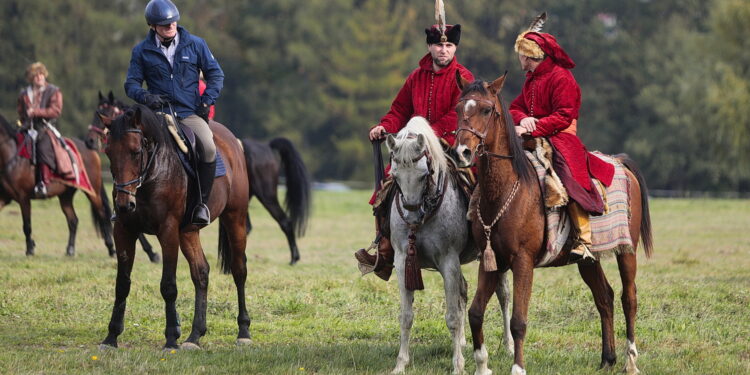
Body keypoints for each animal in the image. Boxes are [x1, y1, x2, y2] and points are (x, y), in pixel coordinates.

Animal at [0, 112, 115, 258]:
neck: (12, 156)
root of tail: (90, 149)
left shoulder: (23, 198)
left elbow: (27, 226)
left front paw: (30, 249)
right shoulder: (4, 198)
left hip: (92, 192)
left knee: (102, 215)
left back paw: (111, 249)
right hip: (65, 196)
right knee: (73, 220)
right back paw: (70, 250)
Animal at [86, 92, 312, 266]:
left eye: (107, 112)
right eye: (110, 152)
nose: (89, 141)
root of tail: (265, 146)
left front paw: (153, 254)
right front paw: (151, 253)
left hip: (265, 195)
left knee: (284, 221)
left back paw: (294, 258)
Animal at [98, 103, 253, 350]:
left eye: (135, 151)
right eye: (108, 152)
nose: (123, 204)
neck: (152, 173)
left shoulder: (168, 230)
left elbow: (168, 285)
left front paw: (171, 338)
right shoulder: (123, 230)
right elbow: (122, 283)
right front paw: (111, 336)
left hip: (234, 218)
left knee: (239, 270)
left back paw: (243, 331)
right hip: (188, 232)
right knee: (201, 272)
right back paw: (195, 335)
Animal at [384, 117, 516, 375]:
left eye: (423, 175)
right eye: (395, 175)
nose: (412, 215)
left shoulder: (448, 261)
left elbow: (453, 316)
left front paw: (458, 365)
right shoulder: (403, 261)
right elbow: (406, 316)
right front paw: (400, 364)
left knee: (504, 295)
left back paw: (508, 346)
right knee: (463, 290)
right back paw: (464, 342)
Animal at [452, 74, 652, 375]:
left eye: (486, 110)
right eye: (458, 107)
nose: (462, 152)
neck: (510, 189)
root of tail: (620, 162)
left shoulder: (523, 262)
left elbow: (518, 320)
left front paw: (518, 368)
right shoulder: (491, 261)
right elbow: (475, 313)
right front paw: (482, 366)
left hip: (626, 250)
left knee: (629, 298)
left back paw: (630, 360)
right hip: (588, 260)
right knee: (604, 297)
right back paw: (607, 358)